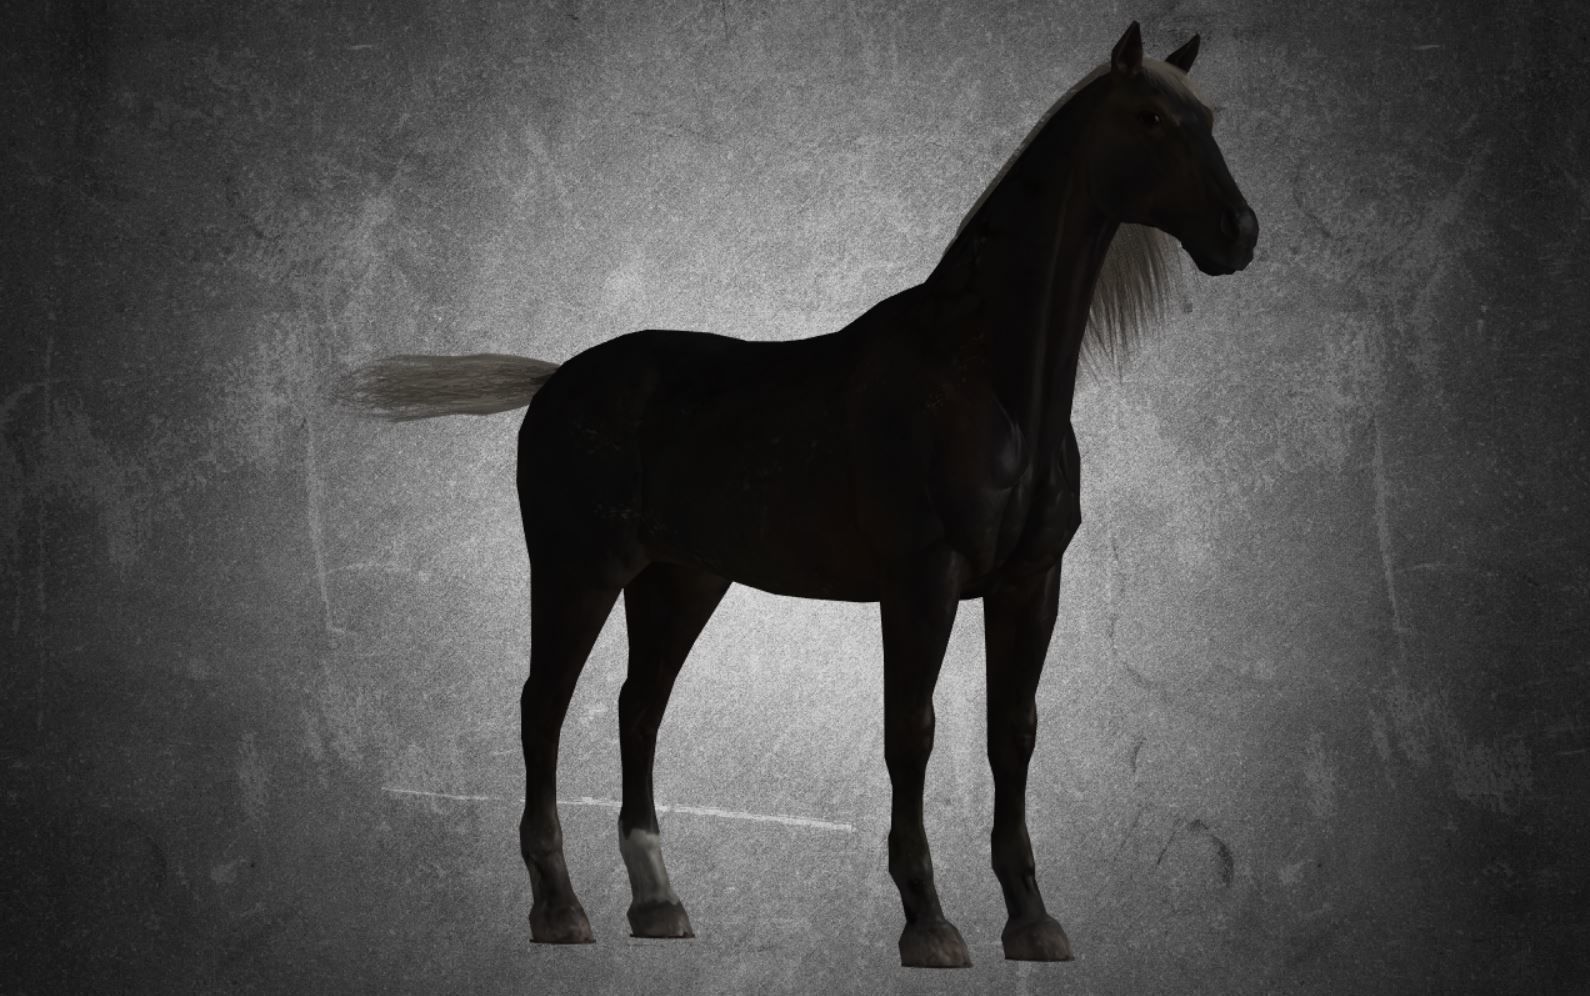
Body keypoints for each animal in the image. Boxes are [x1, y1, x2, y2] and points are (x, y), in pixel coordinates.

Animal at [337, 22, 1257, 968]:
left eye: (1209, 118)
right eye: (1150, 119)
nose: (1240, 233)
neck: (984, 382)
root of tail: (555, 380)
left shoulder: (1030, 582)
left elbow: (1014, 733)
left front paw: (1033, 923)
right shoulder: (921, 582)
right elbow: (910, 731)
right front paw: (929, 924)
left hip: (678, 583)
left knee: (638, 710)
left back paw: (659, 903)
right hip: (576, 574)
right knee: (542, 709)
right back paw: (559, 910)